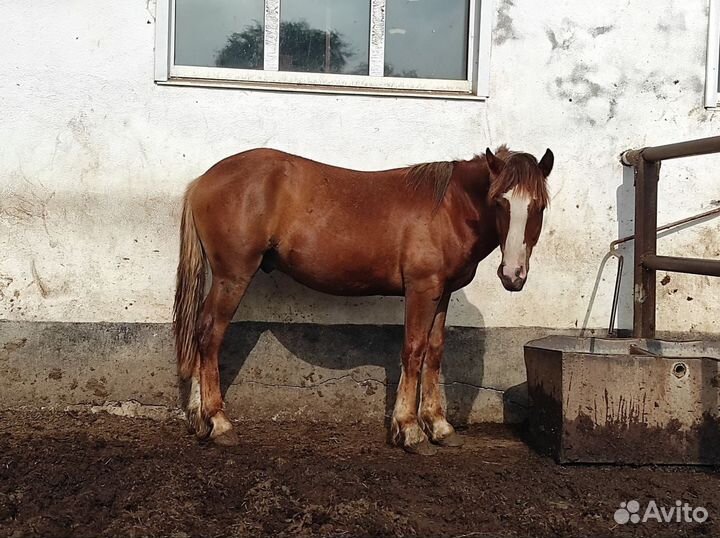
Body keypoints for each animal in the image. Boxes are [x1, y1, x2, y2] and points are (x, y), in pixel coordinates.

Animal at [173, 145, 553, 455]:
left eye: (538, 206)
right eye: (500, 201)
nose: (513, 275)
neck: (448, 207)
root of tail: (203, 181)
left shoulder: (442, 293)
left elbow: (434, 354)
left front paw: (440, 428)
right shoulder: (421, 289)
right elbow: (413, 351)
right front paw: (410, 431)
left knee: (201, 334)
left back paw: (199, 419)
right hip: (233, 277)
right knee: (210, 335)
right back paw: (219, 423)